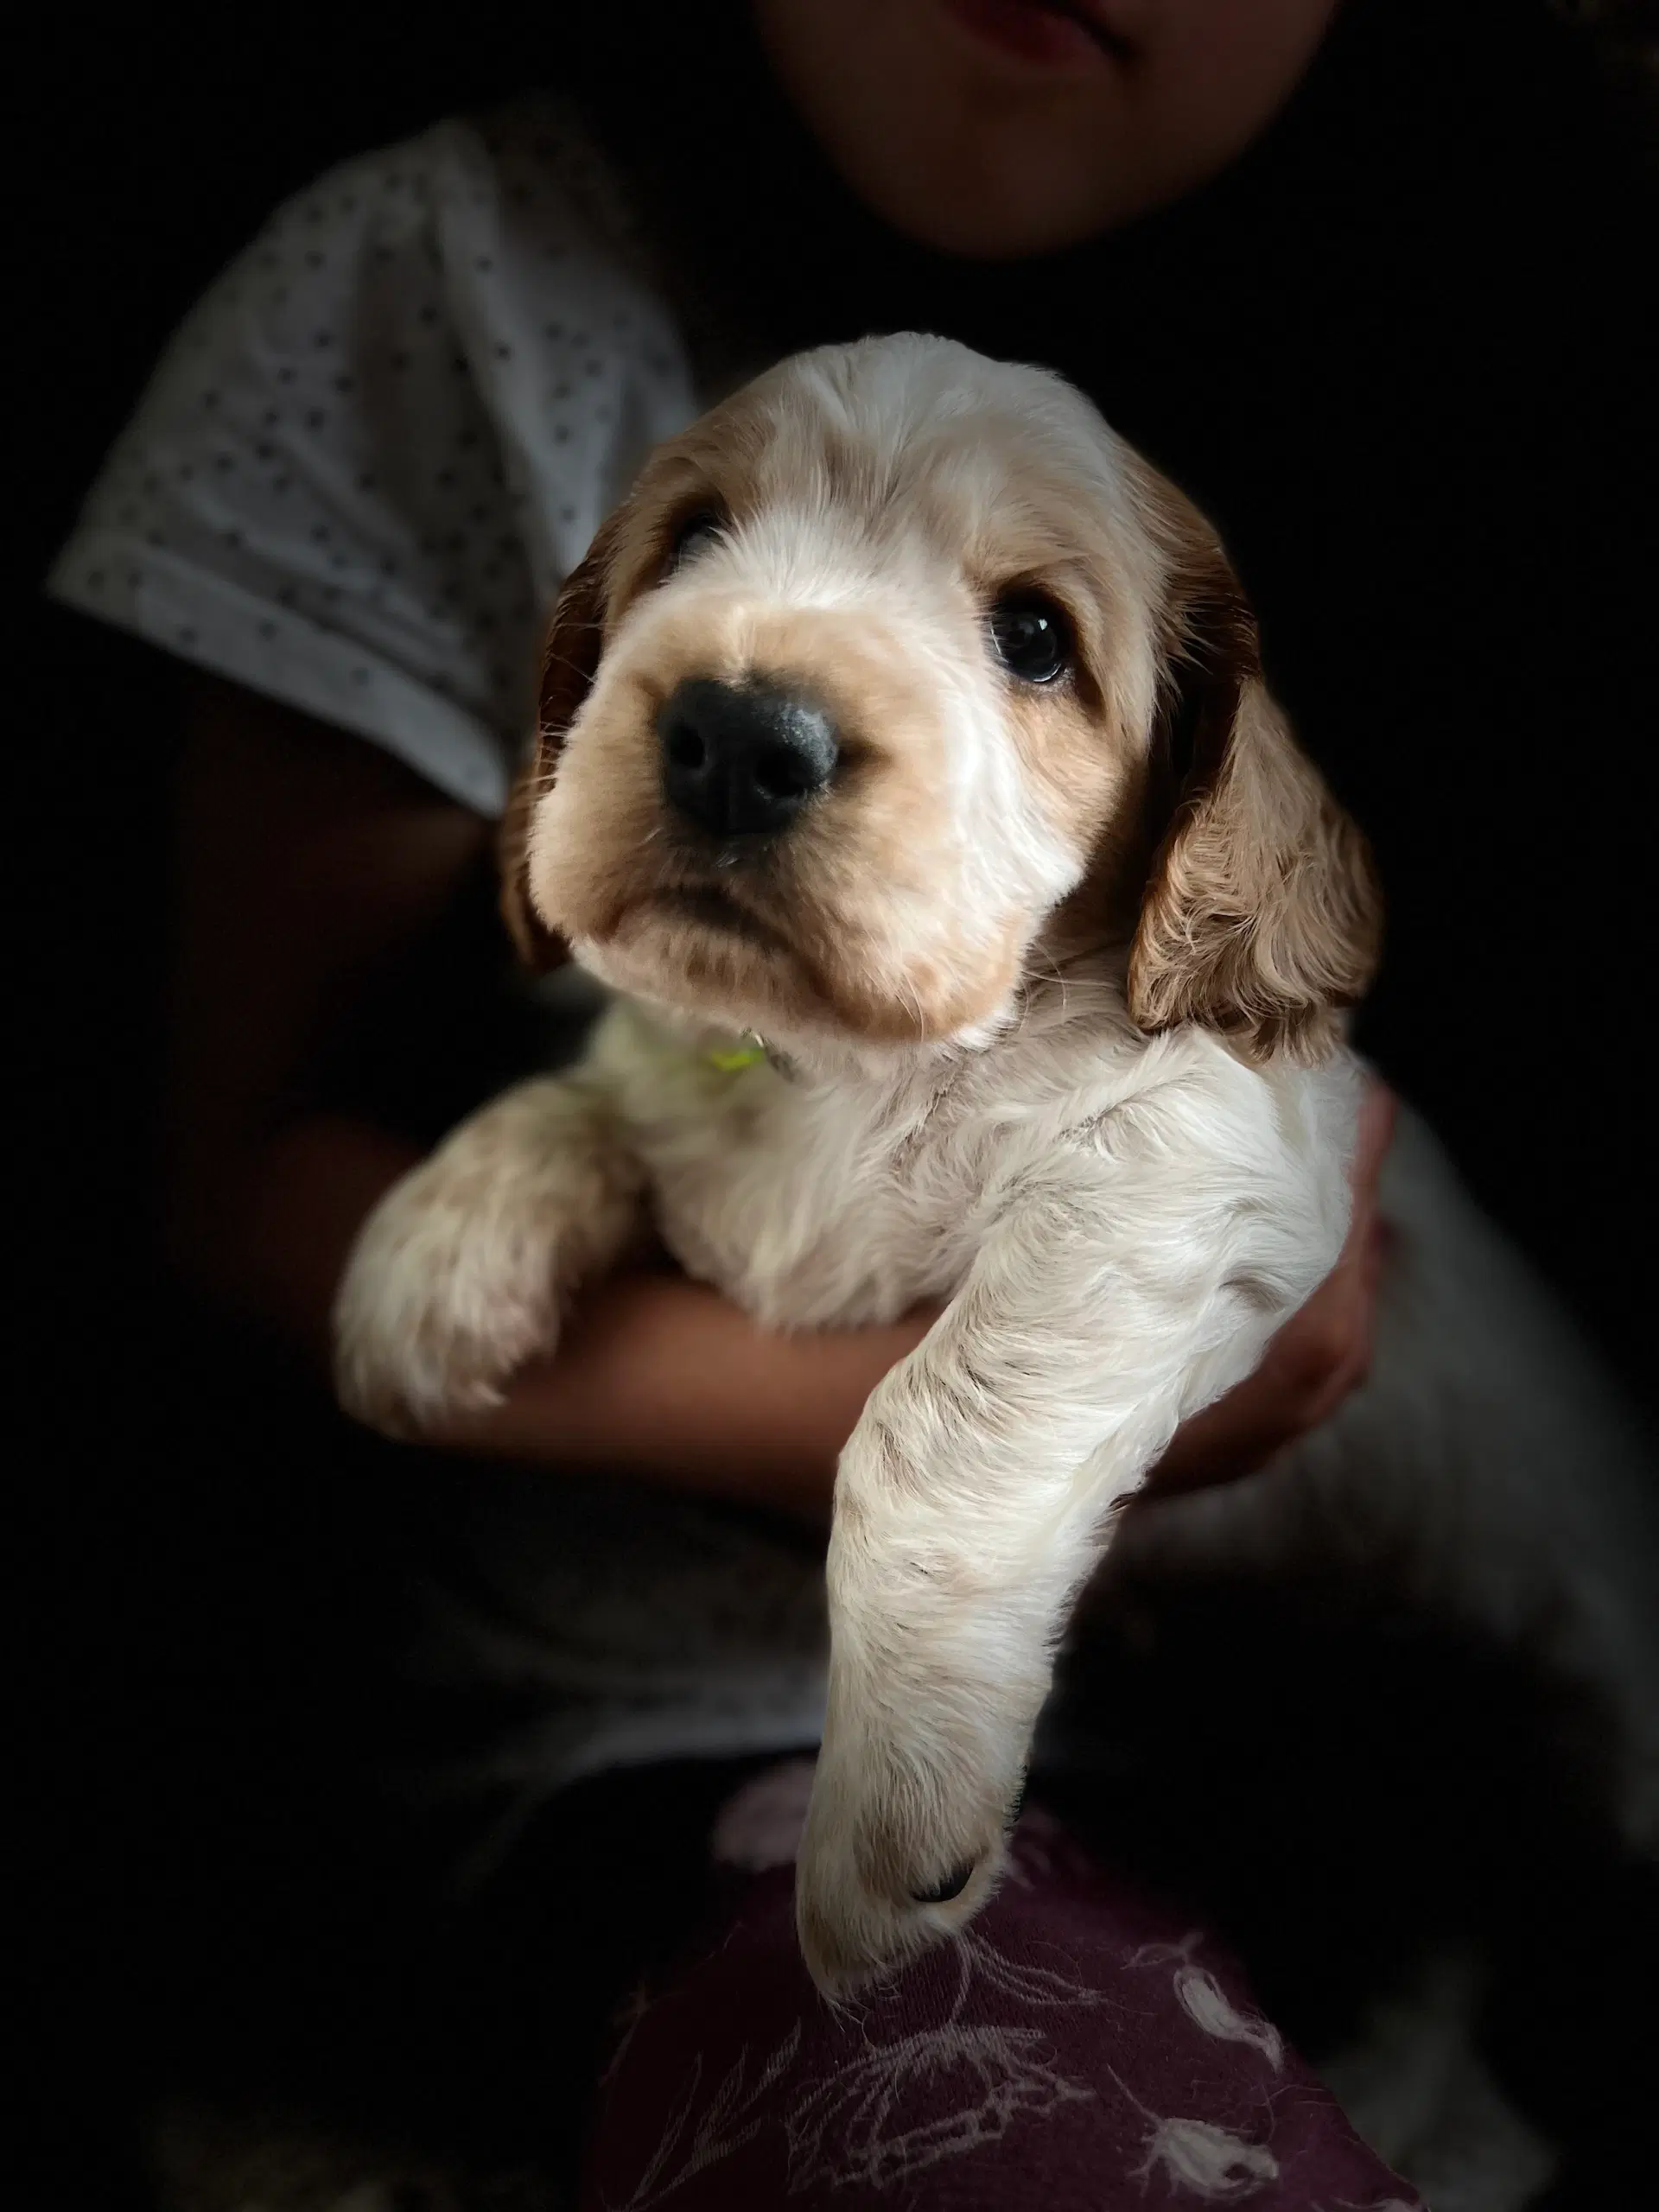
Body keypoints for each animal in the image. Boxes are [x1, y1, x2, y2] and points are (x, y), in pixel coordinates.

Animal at [338, 332, 1659, 2008]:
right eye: (692, 540)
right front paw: (428, 1258)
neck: (856, 1073)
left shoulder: (1191, 1155)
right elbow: (591, 1102)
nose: (742, 738)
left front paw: (887, 1813)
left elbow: (928, 1425)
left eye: (1035, 637)